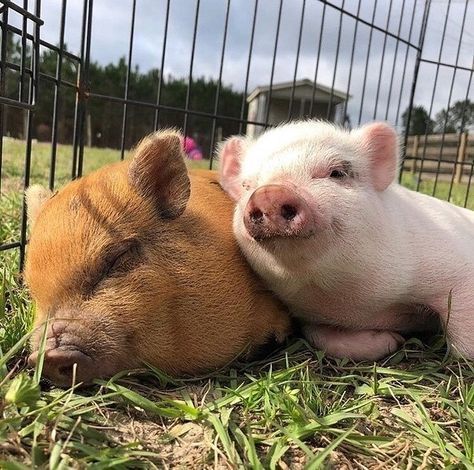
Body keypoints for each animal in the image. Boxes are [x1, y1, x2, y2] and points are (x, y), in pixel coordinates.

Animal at [220, 120, 474, 360]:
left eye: (337, 173)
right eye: (246, 185)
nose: (269, 193)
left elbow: (464, 346)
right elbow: (319, 336)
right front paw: (392, 341)